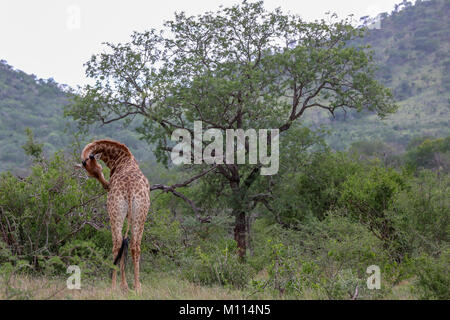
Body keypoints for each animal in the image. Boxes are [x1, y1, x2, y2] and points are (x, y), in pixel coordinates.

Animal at [80, 139, 150, 294]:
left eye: (100, 168)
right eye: (91, 173)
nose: (107, 185)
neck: (122, 159)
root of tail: (130, 189)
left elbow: (122, 243)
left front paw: (123, 286)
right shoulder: (130, 216)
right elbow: (127, 243)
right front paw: (127, 286)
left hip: (116, 213)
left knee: (118, 243)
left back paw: (114, 287)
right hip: (138, 214)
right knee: (134, 245)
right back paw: (136, 287)